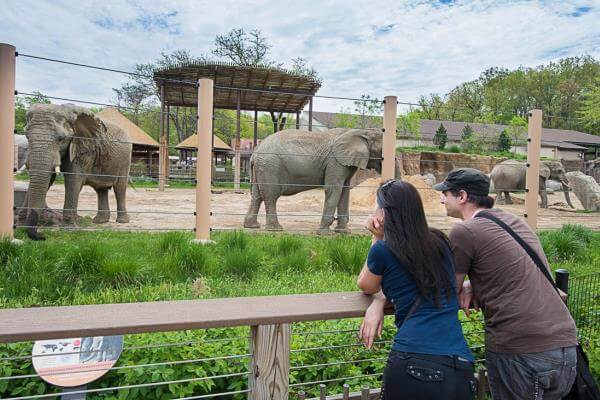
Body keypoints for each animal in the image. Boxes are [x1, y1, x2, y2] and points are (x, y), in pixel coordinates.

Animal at [23, 104, 132, 241]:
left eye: (61, 139)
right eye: (26, 136)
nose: (42, 236)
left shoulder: (83, 147)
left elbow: (74, 179)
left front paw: (69, 229)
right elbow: (50, 178)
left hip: (125, 159)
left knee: (119, 188)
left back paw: (122, 221)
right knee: (101, 189)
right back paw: (99, 222)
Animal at [241, 128, 396, 233]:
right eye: (382, 152)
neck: (361, 131)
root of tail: (254, 152)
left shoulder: (344, 163)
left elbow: (345, 191)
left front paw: (343, 233)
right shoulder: (335, 162)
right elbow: (334, 189)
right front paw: (324, 233)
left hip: (262, 167)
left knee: (257, 196)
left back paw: (252, 226)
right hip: (270, 166)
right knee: (270, 196)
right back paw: (275, 229)